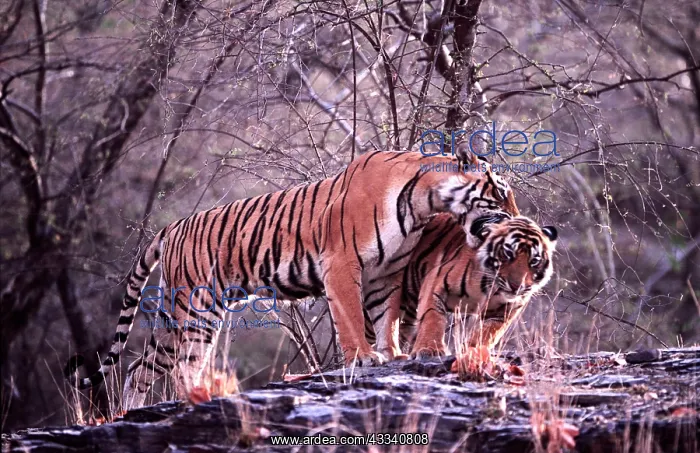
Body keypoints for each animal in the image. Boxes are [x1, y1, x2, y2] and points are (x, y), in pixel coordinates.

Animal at [64, 150, 519, 409]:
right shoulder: (342, 265)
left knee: (147, 365)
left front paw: (391, 354)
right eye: (500, 193)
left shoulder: (386, 273)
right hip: (192, 311)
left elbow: (386, 319)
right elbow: (352, 319)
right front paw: (364, 358)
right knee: (165, 364)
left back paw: (152, 407)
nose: (517, 215)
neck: (423, 201)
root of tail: (172, 226)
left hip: (187, 320)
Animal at [365, 211, 557, 359]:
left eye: (534, 261)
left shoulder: (505, 311)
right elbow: (433, 317)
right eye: (508, 253)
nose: (516, 286)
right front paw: (429, 350)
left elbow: (488, 333)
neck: (490, 288)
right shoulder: (435, 281)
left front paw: (474, 351)